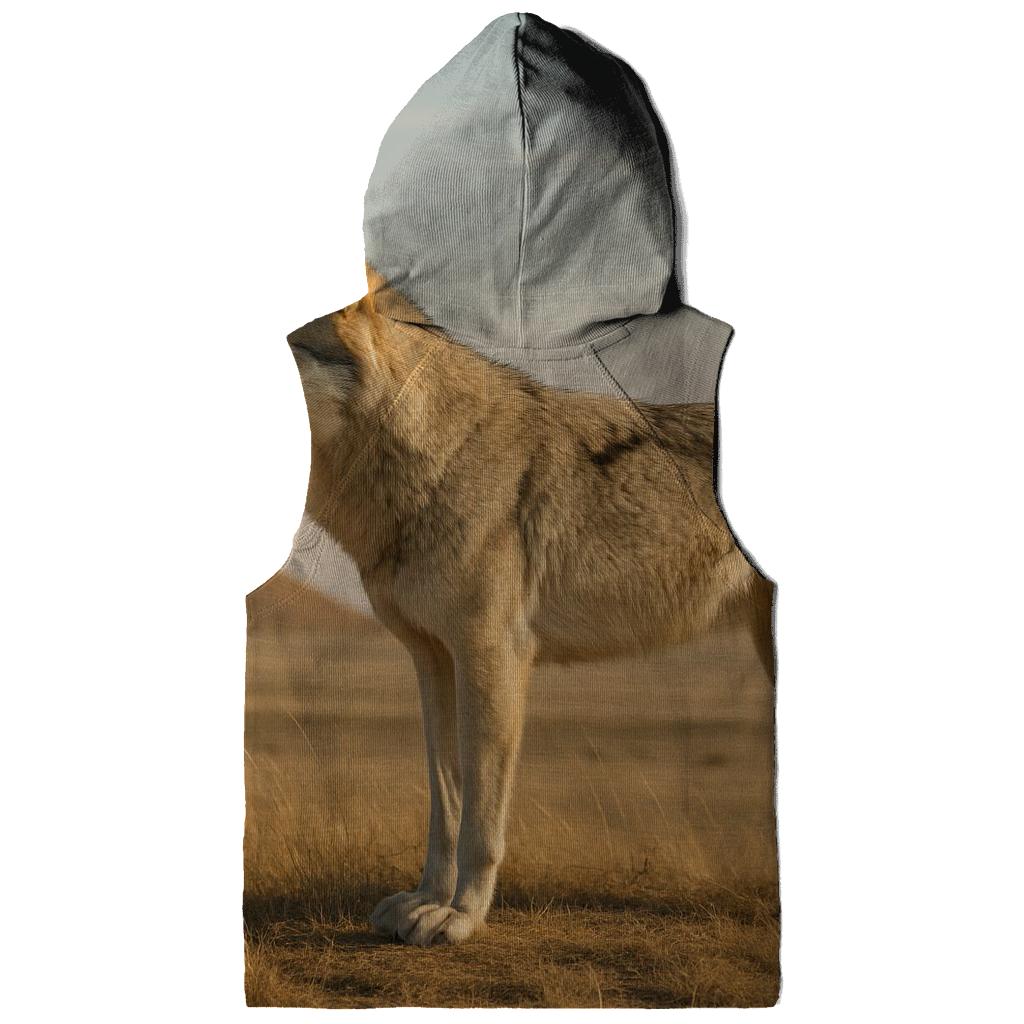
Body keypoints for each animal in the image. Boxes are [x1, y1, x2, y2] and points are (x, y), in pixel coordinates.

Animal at [286, 268, 774, 947]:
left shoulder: (493, 653)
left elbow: (482, 813)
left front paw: (461, 916)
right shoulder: (433, 659)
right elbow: (445, 803)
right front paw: (425, 900)